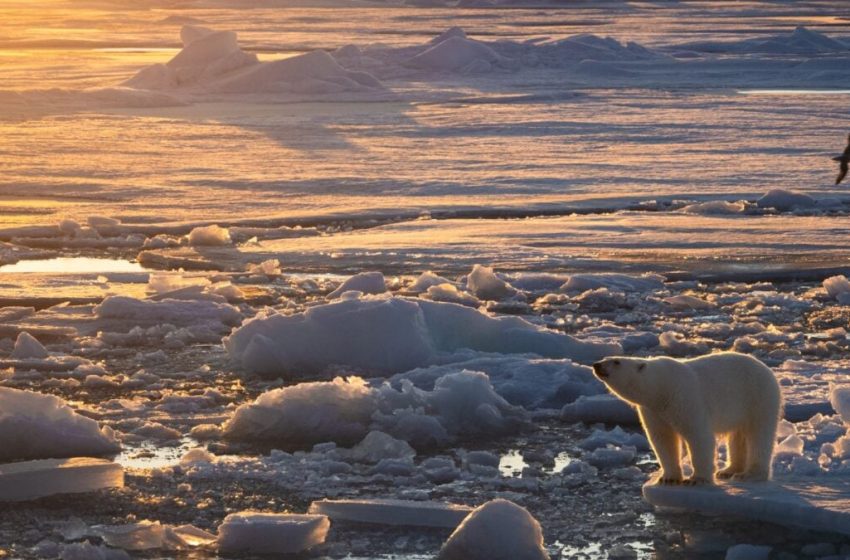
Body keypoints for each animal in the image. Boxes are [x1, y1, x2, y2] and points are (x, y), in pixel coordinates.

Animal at [592, 352, 782, 485]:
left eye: (616, 362)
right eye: (606, 357)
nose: (596, 364)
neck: (662, 388)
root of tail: (767, 369)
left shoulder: (684, 398)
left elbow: (698, 436)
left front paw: (697, 479)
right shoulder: (653, 411)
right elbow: (663, 439)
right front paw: (668, 478)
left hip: (758, 397)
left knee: (759, 434)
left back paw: (749, 474)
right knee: (737, 436)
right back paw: (728, 470)